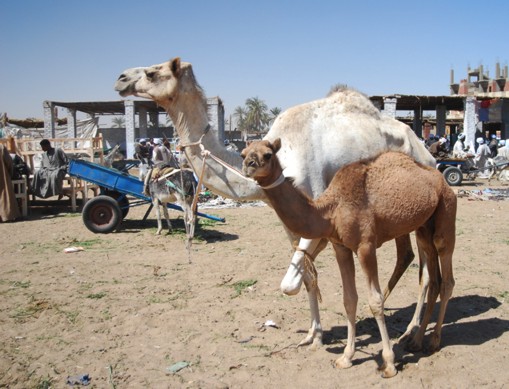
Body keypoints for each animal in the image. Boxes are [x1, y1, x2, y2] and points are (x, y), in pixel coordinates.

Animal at [114, 57, 432, 346]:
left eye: (154, 72)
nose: (121, 78)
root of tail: (424, 150)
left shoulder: (316, 205)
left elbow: (290, 283)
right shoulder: (292, 221)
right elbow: (307, 276)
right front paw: (314, 335)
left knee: (426, 269)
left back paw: (412, 331)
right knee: (406, 255)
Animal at [242, 139, 456, 376]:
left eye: (268, 154)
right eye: (243, 152)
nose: (248, 165)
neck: (330, 210)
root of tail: (440, 178)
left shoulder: (365, 246)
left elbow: (375, 301)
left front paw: (389, 363)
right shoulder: (341, 248)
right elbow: (349, 299)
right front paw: (346, 357)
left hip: (446, 212)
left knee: (446, 277)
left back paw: (434, 341)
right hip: (424, 226)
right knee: (434, 278)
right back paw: (416, 341)